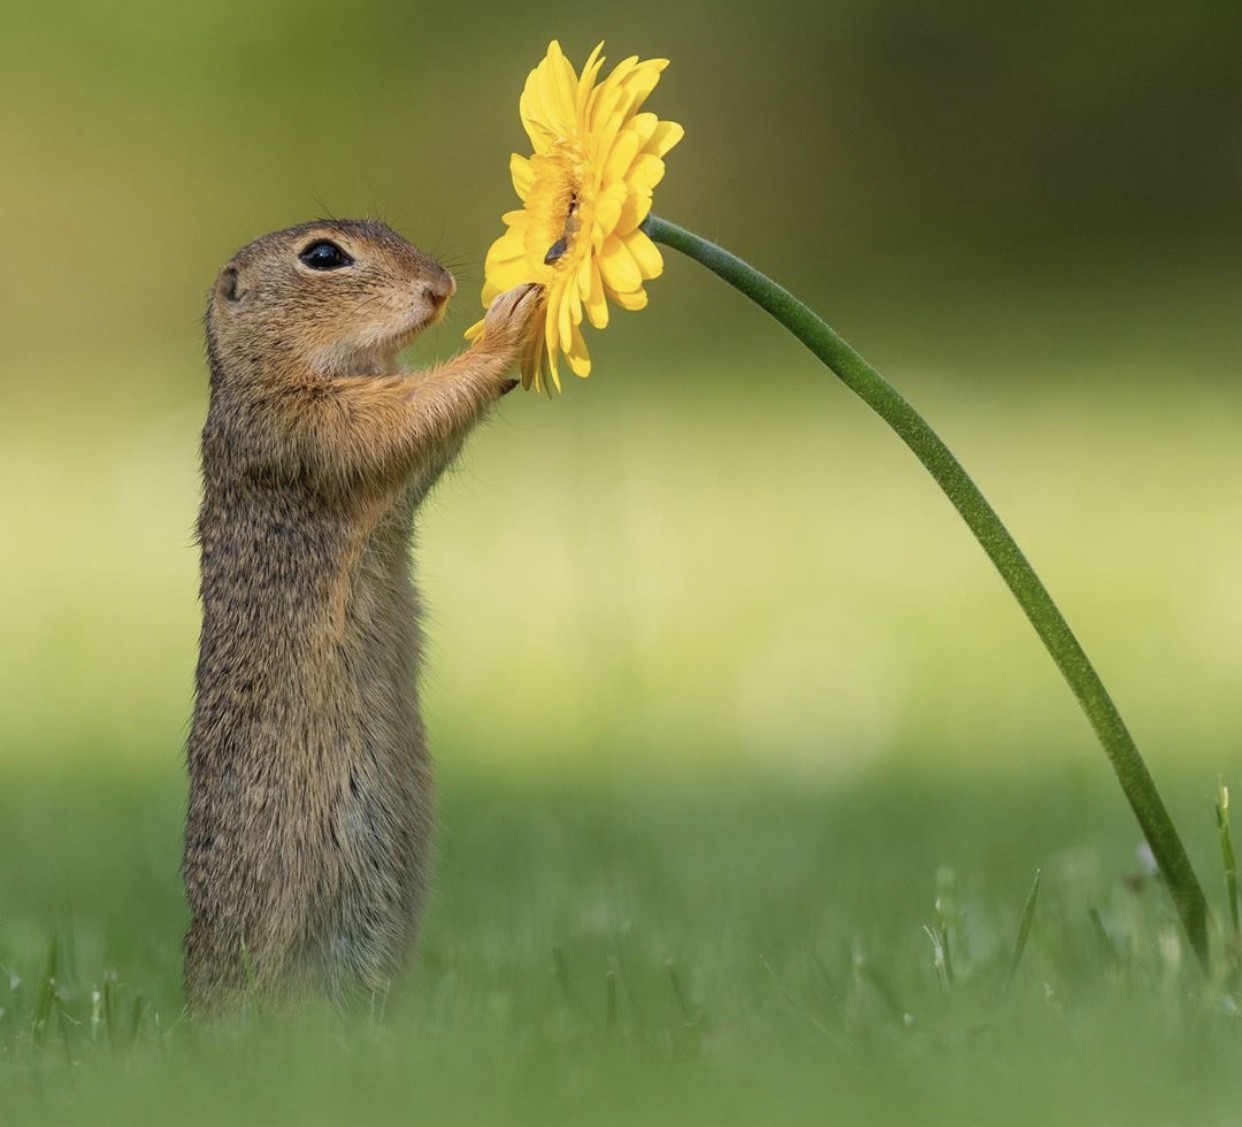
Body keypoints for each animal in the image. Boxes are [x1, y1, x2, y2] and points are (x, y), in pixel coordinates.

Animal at [183, 219, 540, 1012]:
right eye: (323, 256)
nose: (441, 286)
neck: (264, 375)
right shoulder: (310, 427)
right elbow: (407, 414)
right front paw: (505, 328)